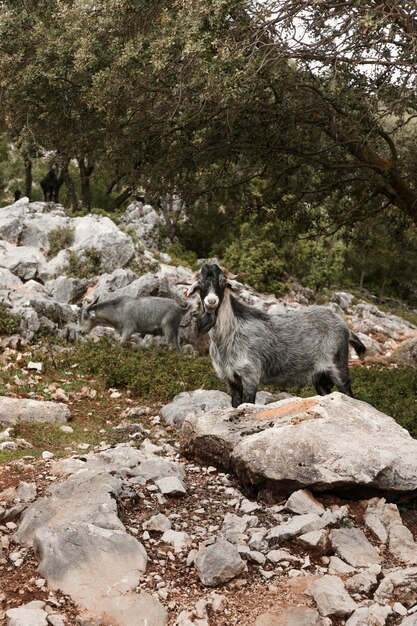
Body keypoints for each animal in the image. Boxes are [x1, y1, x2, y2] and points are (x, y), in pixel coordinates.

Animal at [185, 262, 364, 404]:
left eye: (223, 281)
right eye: (200, 284)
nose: (211, 301)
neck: (230, 333)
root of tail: (345, 327)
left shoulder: (250, 375)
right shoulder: (231, 379)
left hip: (338, 367)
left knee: (348, 393)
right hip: (319, 377)